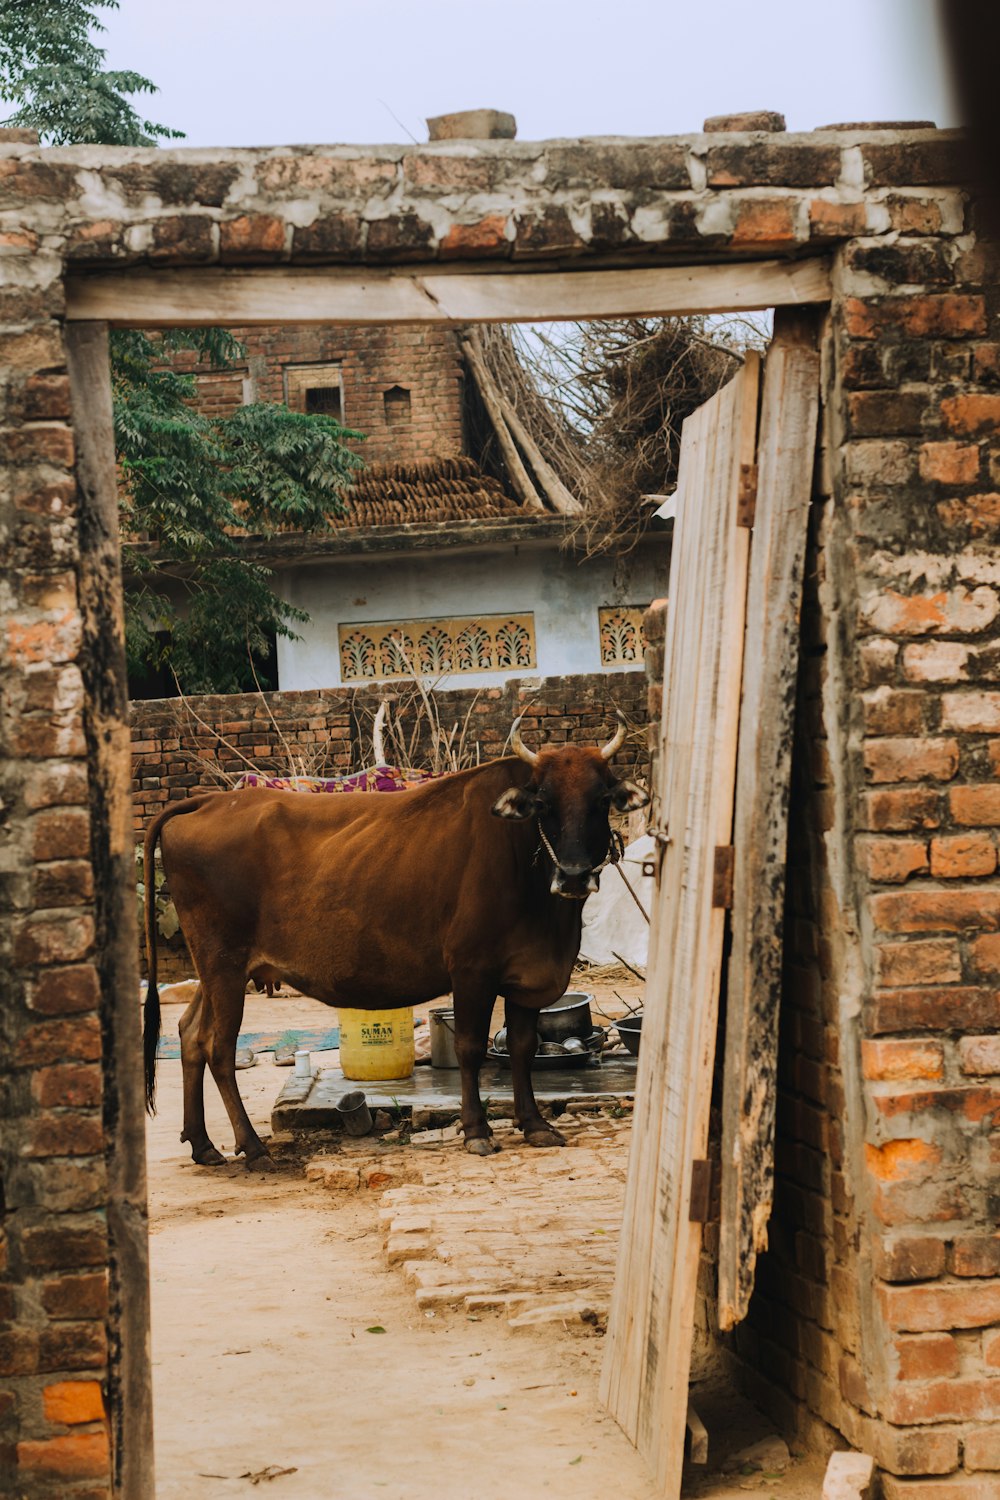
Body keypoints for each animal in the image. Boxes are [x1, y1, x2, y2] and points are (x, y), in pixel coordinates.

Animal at [144, 720, 653, 1164]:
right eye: (544, 803)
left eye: (601, 799)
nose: (573, 875)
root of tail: (208, 802)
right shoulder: (471, 969)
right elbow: (471, 1047)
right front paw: (477, 1130)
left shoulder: (528, 976)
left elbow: (523, 1048)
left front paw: (534, 1124)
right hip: (223, 965)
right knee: (218, 1048)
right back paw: (251, 1147)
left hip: (218, 972)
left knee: (190, 1034)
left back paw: (203, 1145)